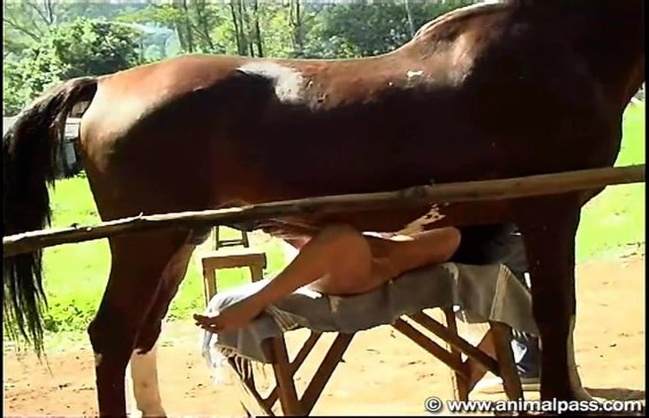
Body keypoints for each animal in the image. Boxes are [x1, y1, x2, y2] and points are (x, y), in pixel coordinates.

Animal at [3, 0, 644, 415]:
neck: (558, 48)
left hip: (174, 240)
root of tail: (106, 84)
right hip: (143, 241)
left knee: (143, 332)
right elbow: (556, 317)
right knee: (112, 336)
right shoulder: (549, 212)